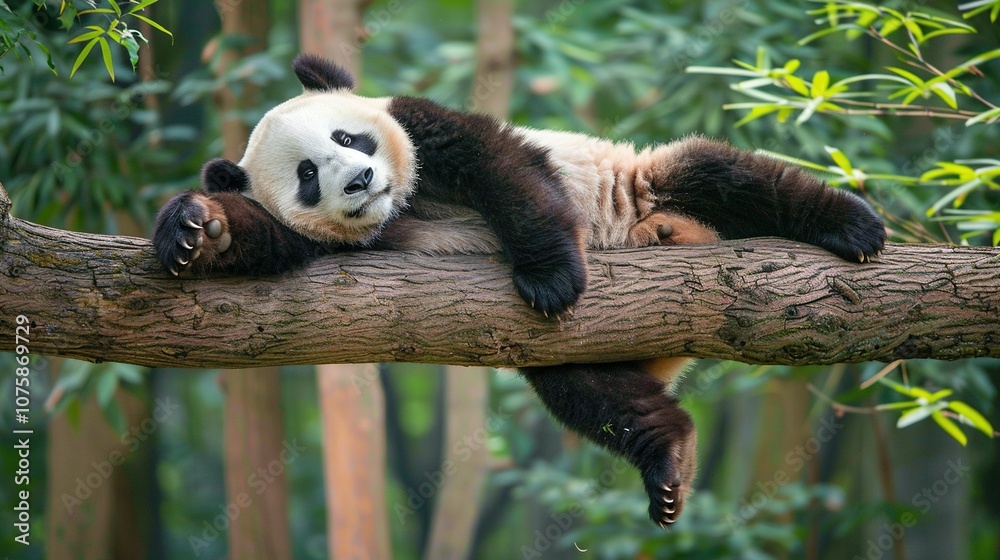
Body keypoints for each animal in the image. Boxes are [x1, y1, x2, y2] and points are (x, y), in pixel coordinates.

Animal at [153, 53, 886, 528]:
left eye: (348, 137)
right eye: (308, 174)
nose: (360, 180)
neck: (402, 205)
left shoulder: (425, 126)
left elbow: (504, 170)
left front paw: (551, 278)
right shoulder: (322, 238)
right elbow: (270, 240)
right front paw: (198, 227)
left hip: (640, 182)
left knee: (722, 174)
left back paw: (851, 226)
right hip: (588, 349)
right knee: (590, 394)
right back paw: (667, 461)